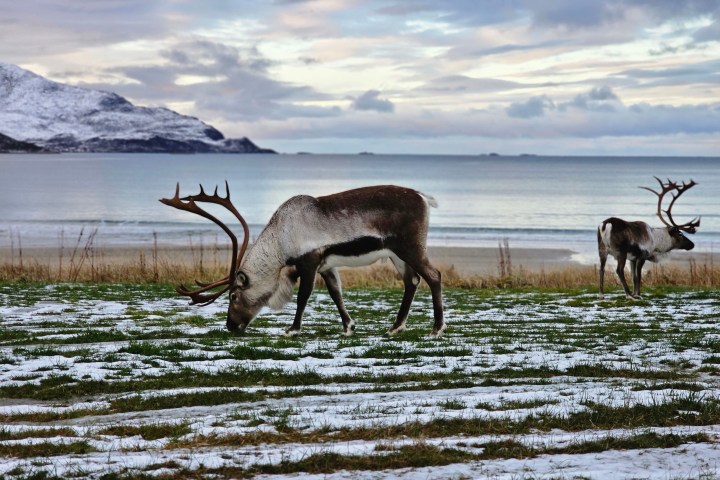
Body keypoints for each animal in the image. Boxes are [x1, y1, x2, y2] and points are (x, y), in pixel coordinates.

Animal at [160, 183, 445, 337]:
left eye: (233, 296)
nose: (230, 325)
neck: (281, 237)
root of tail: (423, 198)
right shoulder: (327, 265)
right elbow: (336, 293)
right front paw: (348, 326)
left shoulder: (309, 262)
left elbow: (303, 297)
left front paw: (292, 329)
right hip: (395, 254)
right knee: (412, 281)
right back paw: (395, 328)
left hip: (410, 247)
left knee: (434, 276)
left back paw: (436, 329)